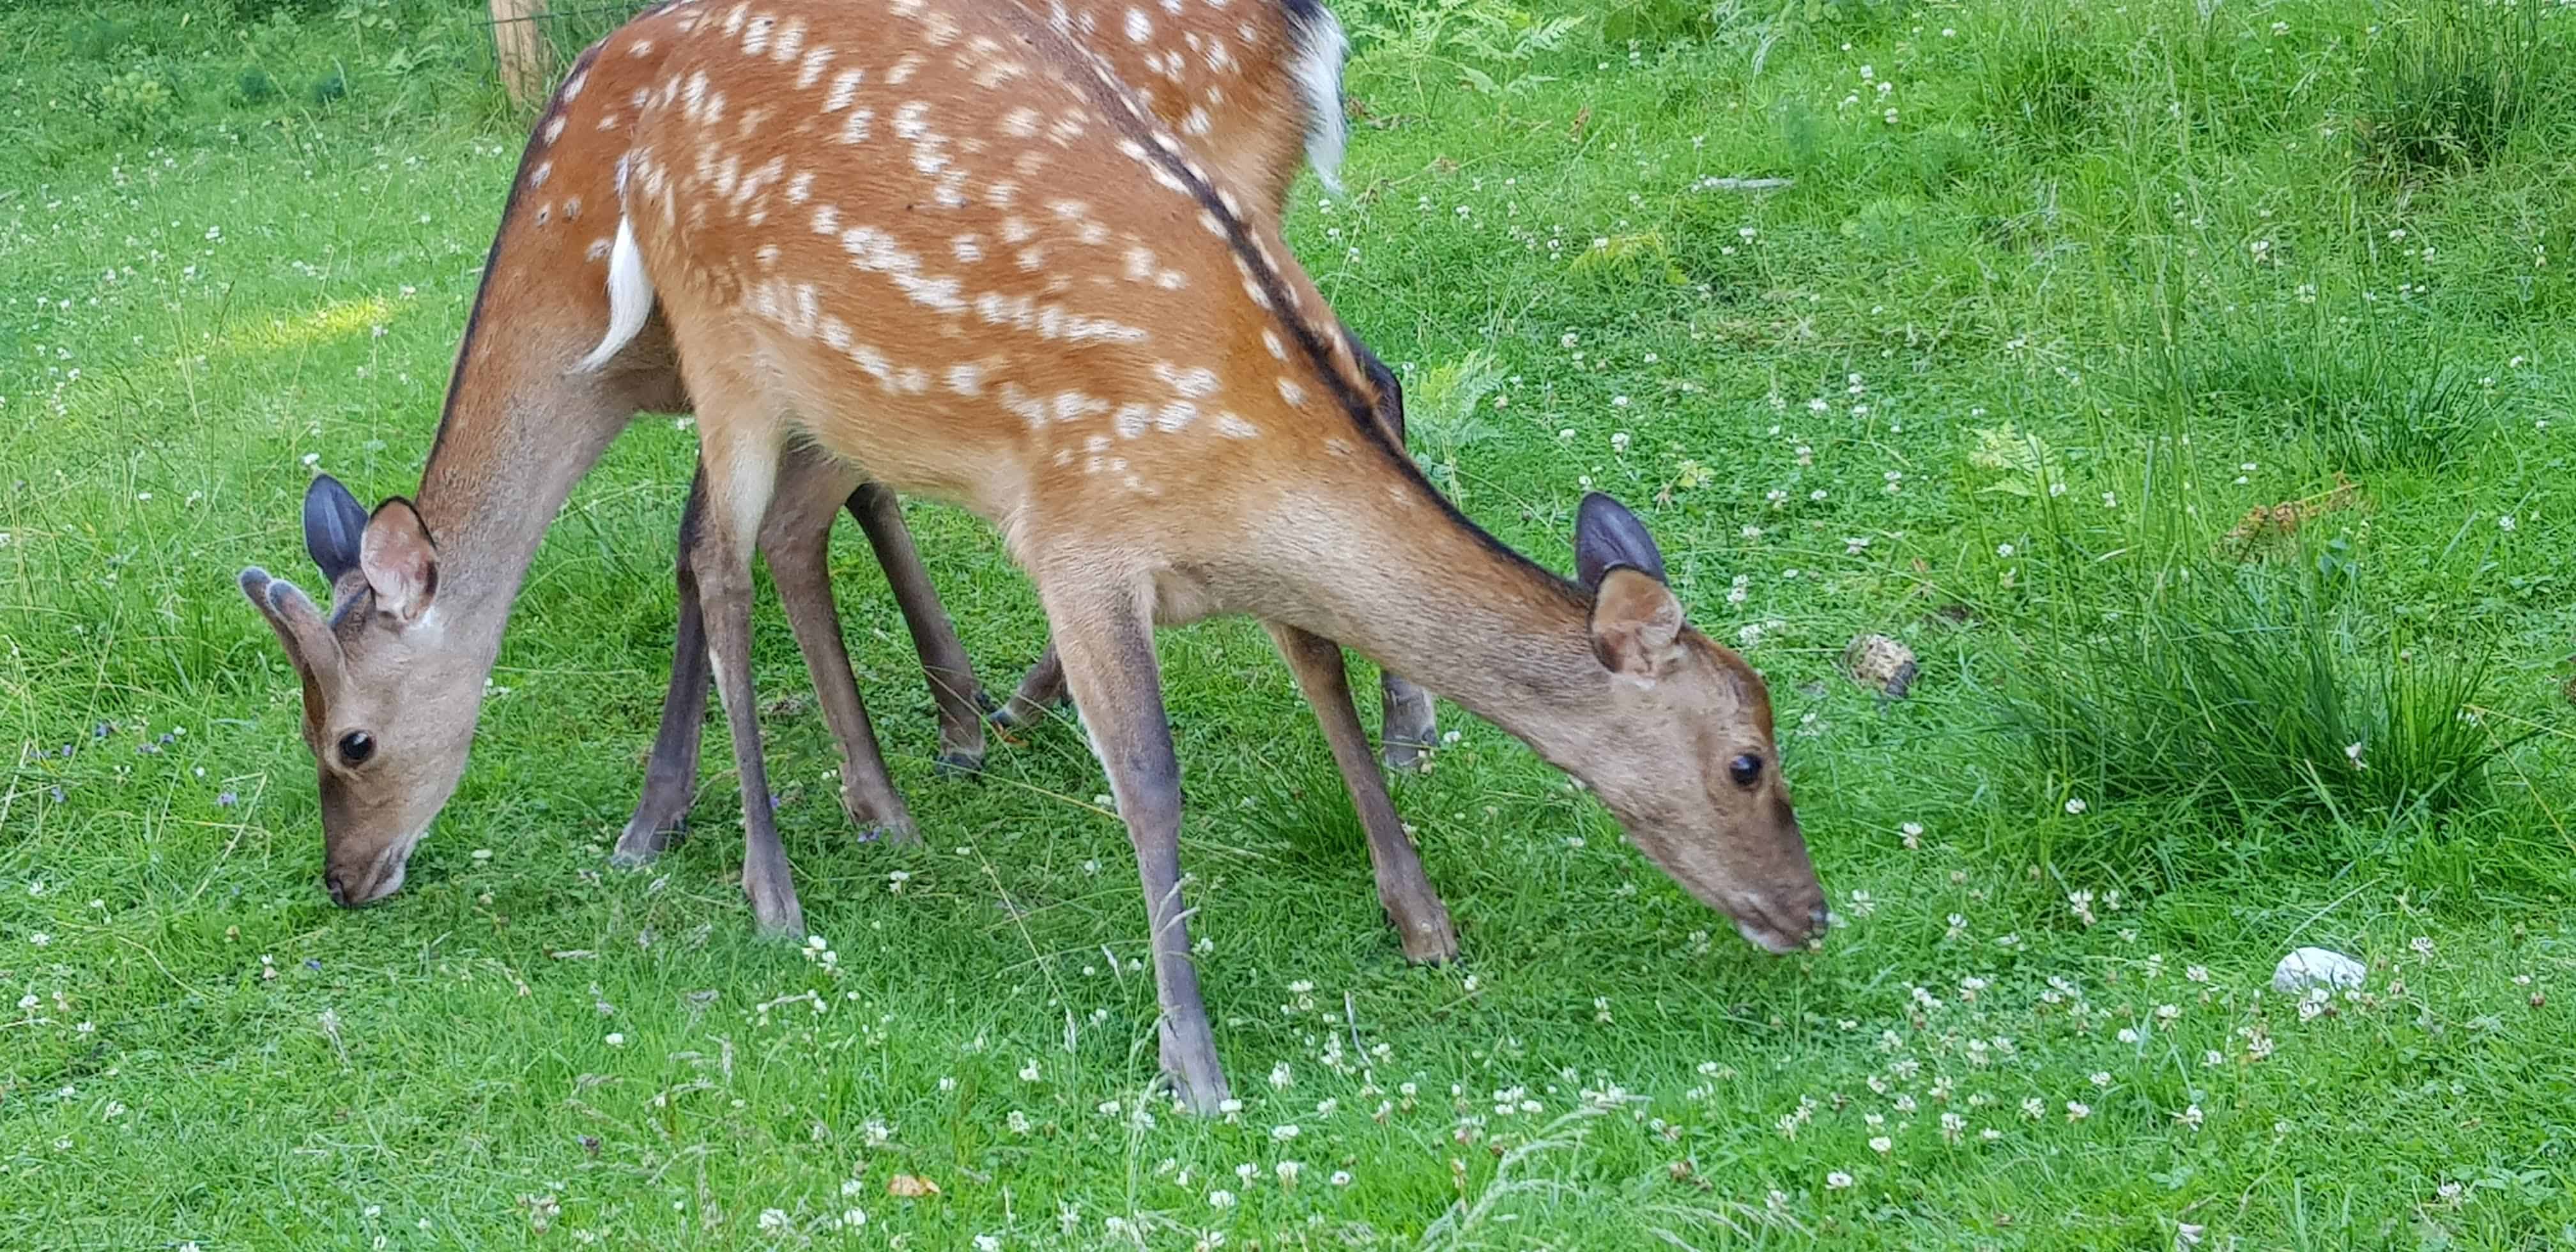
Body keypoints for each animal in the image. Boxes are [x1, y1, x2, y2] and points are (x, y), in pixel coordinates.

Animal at [582, 0, 1834, 1113]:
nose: (1814, 913)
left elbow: (1323, 677)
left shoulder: (1256, 564)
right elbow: (1148, 780)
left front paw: (1421, 919)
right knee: (715, 558)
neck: (1248, 481)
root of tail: (646, 131)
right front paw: (1192, 1060)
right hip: (723, 355)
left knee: (771, 538)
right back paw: (767, 883)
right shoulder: (1078, 538)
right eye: (1746, 761)